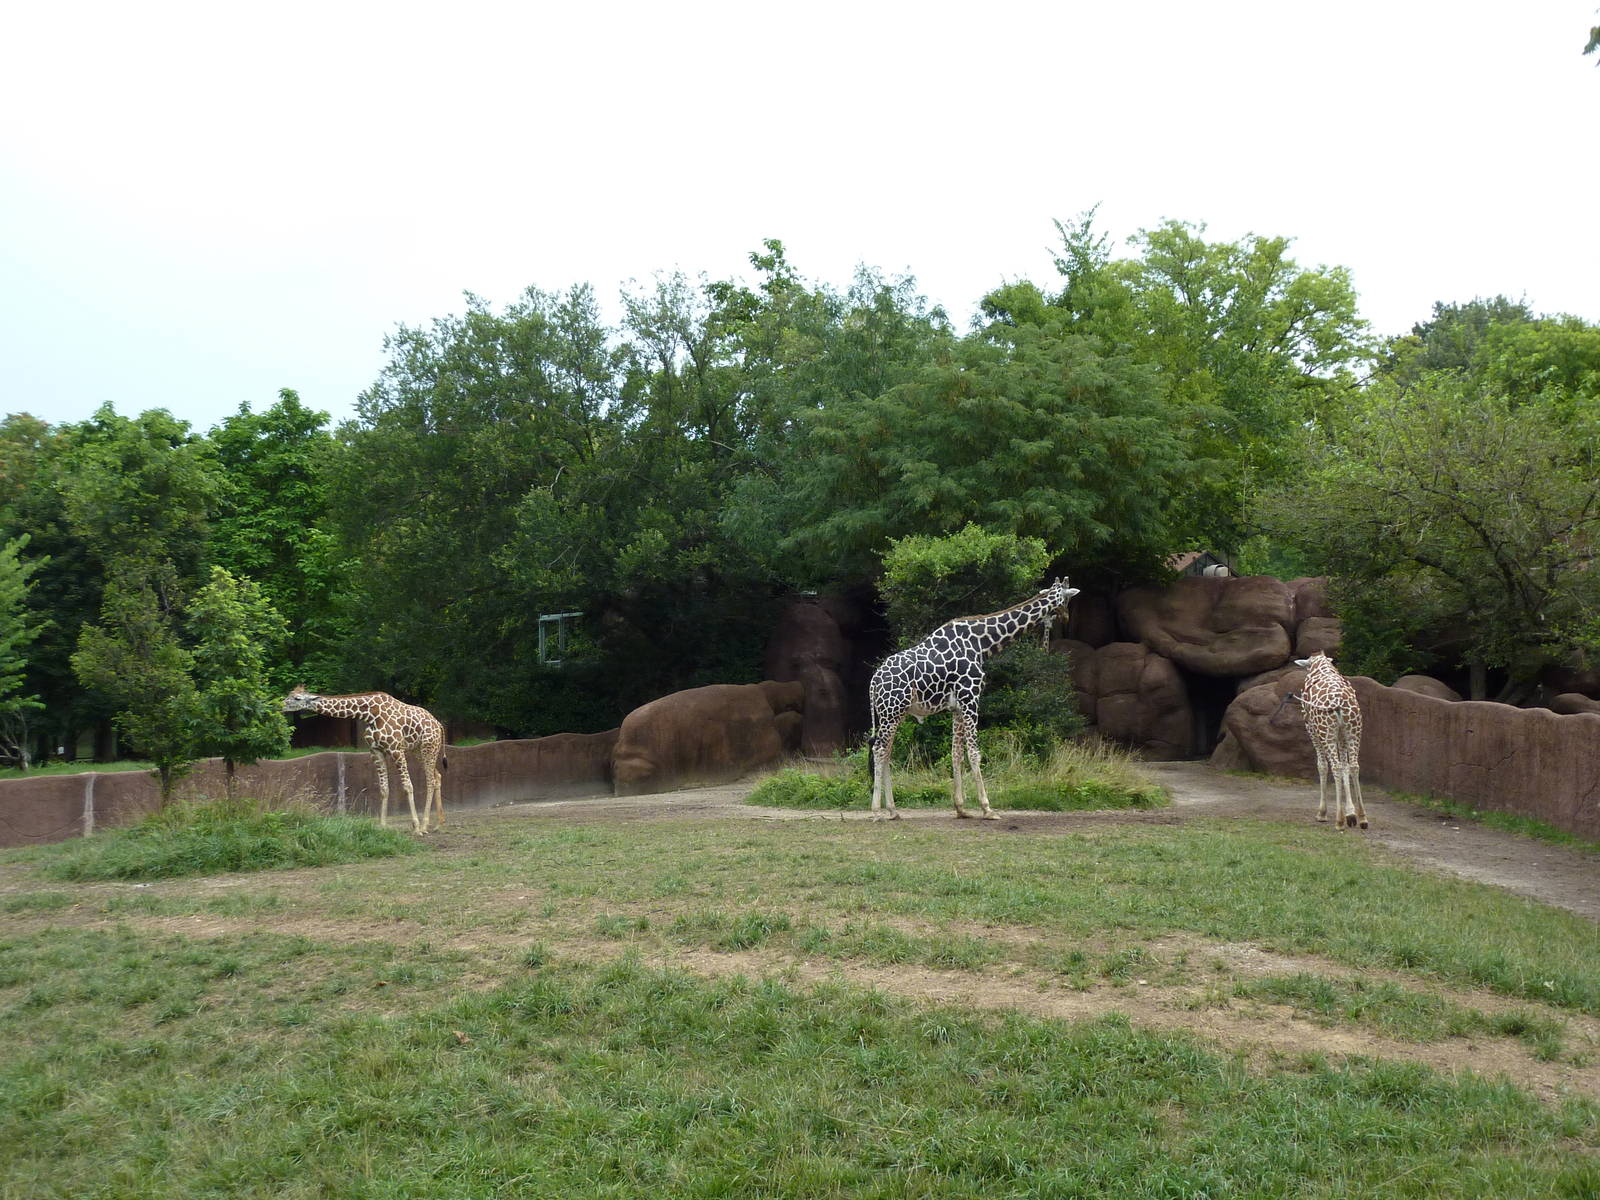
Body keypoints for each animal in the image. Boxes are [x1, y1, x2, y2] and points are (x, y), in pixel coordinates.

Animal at [282, 686, 448, 834]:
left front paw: (416, 827)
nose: (282, 705)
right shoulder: (376, 751)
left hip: (429, 747)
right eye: (289, 694)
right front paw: (382, 826)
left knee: (430, 781)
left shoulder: (396, 749)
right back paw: (438, 824)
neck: (369, 715)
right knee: (438, 776)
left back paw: (424, 825)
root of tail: (439, 724)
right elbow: (383, 788)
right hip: (417, 750)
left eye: (297, 698)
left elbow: (408, 786)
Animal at [868, 578, 1080, 821]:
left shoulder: (957, 707)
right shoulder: (971, 697)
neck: (981, 643)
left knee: (887, 752)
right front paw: (988, 809)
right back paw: (876, 812)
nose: (1066, 617)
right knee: (879, 750)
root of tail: (873, 683)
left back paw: (893, 811)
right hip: (891, 711)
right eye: (1068, 598)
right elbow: (975, 753)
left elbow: (956, 753)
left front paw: (961, 808)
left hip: (894, 713)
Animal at [1293, 652, 1367, 830]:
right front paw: (1351, 813)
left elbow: (1321, 765)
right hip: (1353, 731)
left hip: (1325, 731)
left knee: (1335, 766)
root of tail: (1339, 703)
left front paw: (1322, 813)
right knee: (1353, 765)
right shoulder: (1341, 735)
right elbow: (1346, 765)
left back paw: (1339, 821)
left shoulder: (1311, 728)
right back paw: (1362, 818)